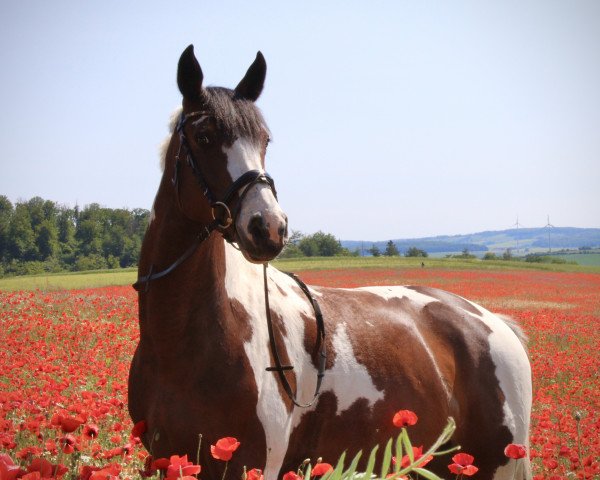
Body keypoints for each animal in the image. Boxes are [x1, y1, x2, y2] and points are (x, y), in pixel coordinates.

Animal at [129, 46, 532, 480]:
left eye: (264, 140)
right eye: (203, 137)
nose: (268, 227)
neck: (185, 342)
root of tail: (493, 324)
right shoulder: (166, 460)